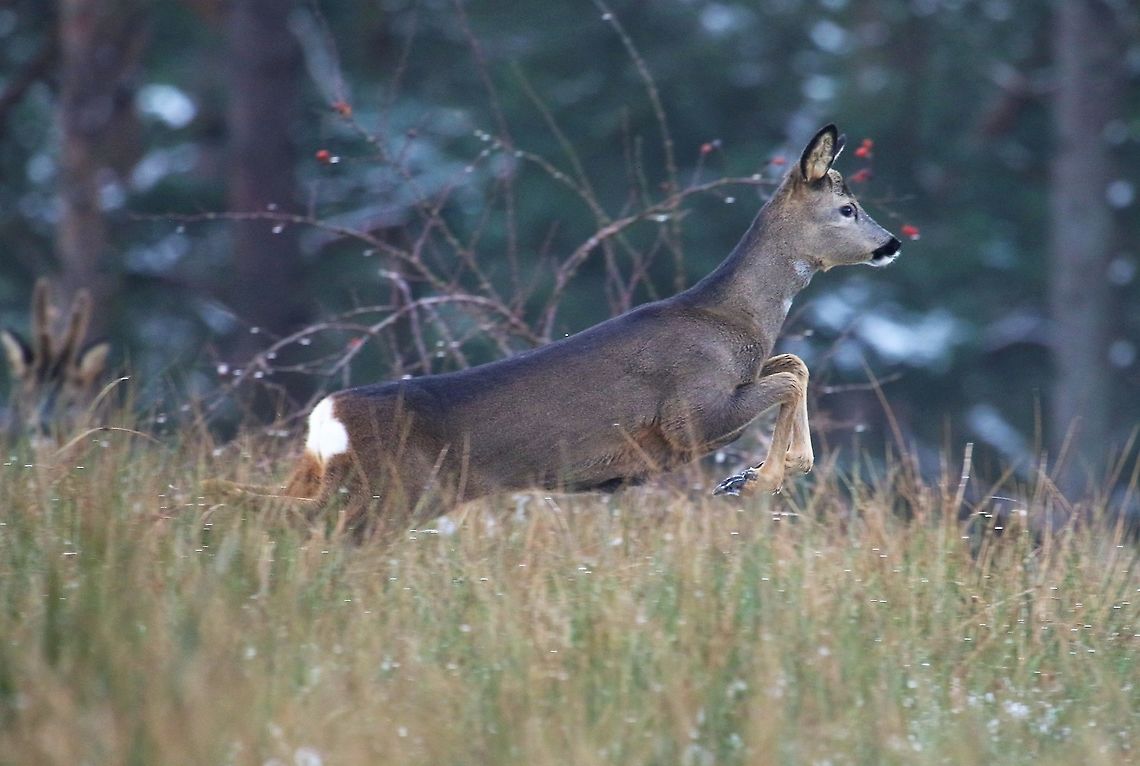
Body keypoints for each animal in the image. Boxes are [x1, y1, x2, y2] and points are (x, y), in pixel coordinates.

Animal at [225, 125, 900, 538]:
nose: (891, 243)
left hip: (342, 484)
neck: (729, 320)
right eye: (848, 209)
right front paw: (760, 480)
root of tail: (325, 418)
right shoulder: (690, 413)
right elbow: (790, 375)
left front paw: (760, 473)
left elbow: (789, 364)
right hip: (380, 493)